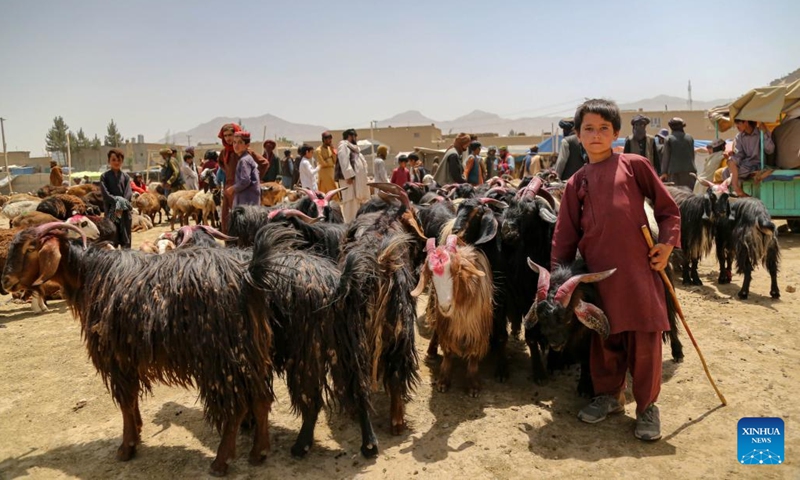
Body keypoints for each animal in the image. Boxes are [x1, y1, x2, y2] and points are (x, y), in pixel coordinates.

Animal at [0, 222, 276, 476]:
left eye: (31, 247)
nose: (6, 281)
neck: (90, 274)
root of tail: (247, 277)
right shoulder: (129, 357)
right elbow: (131, 400)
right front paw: (138, 432)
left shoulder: (115, 356)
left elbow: (125, 401)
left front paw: (127, 447)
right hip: (252, 352)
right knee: (261, 398)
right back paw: (259, 452)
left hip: (219, 358)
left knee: (235, 407)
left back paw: (221, 462)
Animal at [412, 236, 494, 398]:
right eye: (431, 277)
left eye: (457, 272)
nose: (445, 307)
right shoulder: (446, 325)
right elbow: (448, 352)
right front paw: (443, 382)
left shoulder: (478, 329)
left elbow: (474, 355)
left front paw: (473, 386)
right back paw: (431, 352)